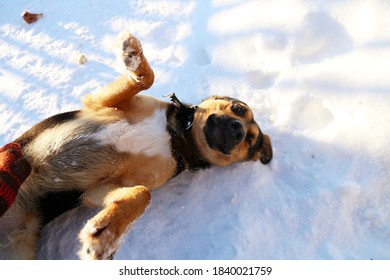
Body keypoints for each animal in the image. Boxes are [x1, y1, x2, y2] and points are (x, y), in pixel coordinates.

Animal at [0, 32, 272, 260]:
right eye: (239, 109)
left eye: (249, 140)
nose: (238, 130)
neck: (177, 135)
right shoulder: (99, 103)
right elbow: (146, 79)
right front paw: (133, 57)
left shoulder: (99, 190)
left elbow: (141, 194)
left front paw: (106, 234)